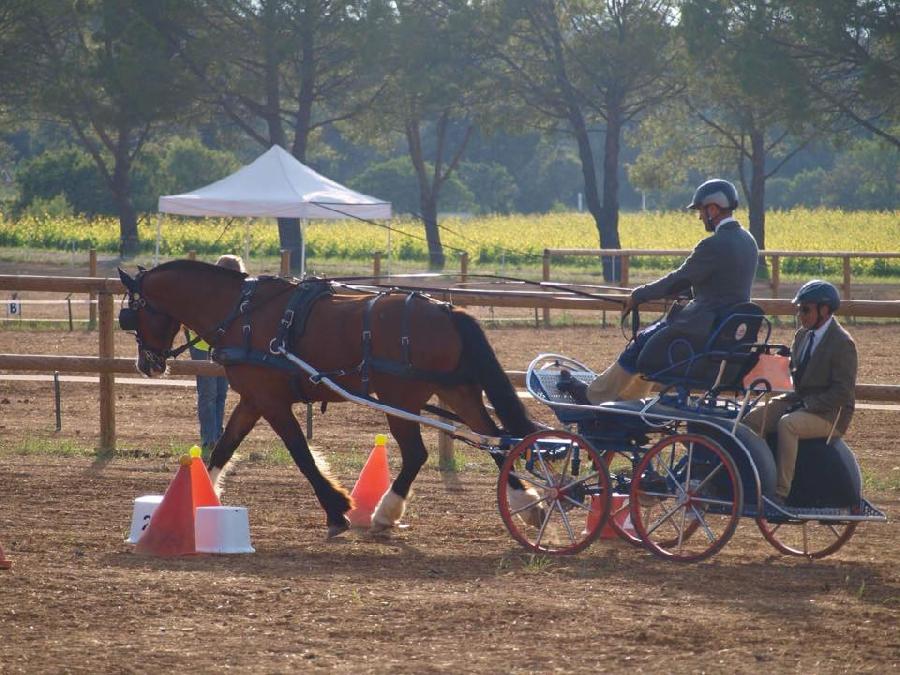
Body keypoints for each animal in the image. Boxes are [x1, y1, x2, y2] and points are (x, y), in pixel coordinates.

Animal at [117, 260, 536, 540]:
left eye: (131, 314)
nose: (147, 364)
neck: (242, 312)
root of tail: (449, 311)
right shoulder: (253, 398)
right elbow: (223, 447)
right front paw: (202, 495)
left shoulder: (271, 401)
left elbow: (301, 454)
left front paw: (337, 510)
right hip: (456, 391)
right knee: (497, 440)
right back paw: (528, 503)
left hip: (400, 398)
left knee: (418, 453)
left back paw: (385, 513)